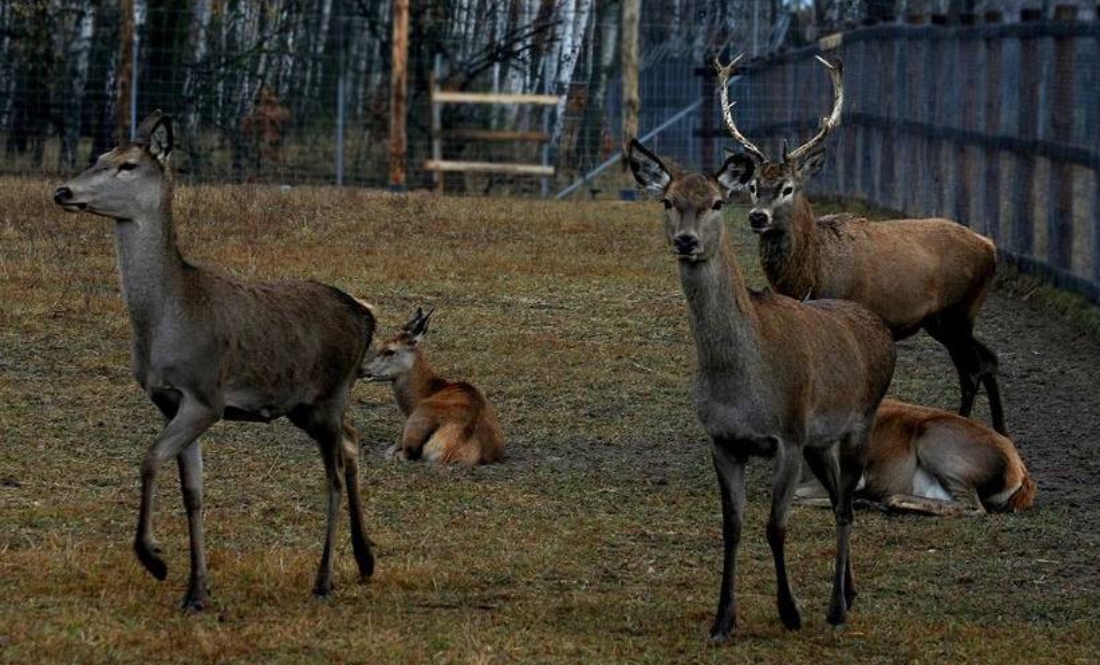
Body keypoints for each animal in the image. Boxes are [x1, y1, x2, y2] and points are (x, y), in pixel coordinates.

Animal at [52, 111, 378, 611]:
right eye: (99, 156)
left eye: (127, 165)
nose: (63, 191)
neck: (167, 321)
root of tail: (367, 317)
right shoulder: (169, 400)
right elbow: (193, 491)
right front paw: (196, 589)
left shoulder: (206, 395)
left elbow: (150, 459)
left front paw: (154, 559)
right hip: (307, 404)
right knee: (352, 441)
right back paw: (364, 560)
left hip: (330, 394)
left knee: (335, 476)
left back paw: (324, 579)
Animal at [365, 307, 506, 463]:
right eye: (379, 345)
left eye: (390, 350)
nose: (362, 369)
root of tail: (453, 449)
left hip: (413, 426)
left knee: (406, 454)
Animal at [633, 138, 897, 637]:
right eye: (667, 202)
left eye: (718, 202)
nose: (686, 241)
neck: (741, 384)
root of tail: (881, 328)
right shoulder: (722, 441)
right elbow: (731, 527)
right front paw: (722, 620)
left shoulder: (787, 436)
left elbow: (775, 527)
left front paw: (790, 612)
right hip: (820, 441)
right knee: (840, 498)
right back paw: (850, 591)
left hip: (862, 421)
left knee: (846, 506)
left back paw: (836, 608)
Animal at [712, 53, 1007, 435]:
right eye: (753, 186)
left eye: (788, 188)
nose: (758, 217)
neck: (810, 274)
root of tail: (991, 248)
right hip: (943, 320)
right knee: (984, 361)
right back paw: (997, 429)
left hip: (959, 310)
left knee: (976, 367)